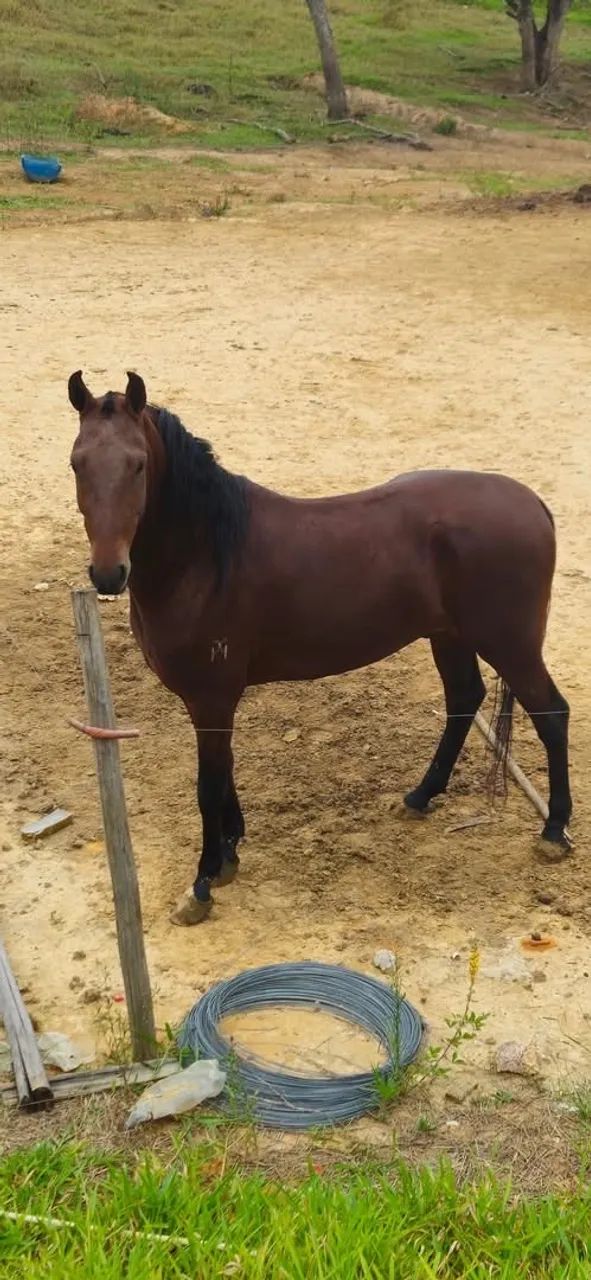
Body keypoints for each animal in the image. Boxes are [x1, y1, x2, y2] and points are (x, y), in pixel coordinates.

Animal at [68, 370, 572, 926]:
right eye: (77, 463)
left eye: (137, 465)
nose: (108, 573)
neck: (204, 556)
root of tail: (533, 504)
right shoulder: (213, 703)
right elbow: (225, 773)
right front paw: (230, 851)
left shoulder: (212, 698)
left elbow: (208, 786)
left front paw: (202, 882)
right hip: (451, 636)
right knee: (464, 701)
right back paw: (420, 796)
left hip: (511, 644)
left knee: (551, 713)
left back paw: (554, 831)